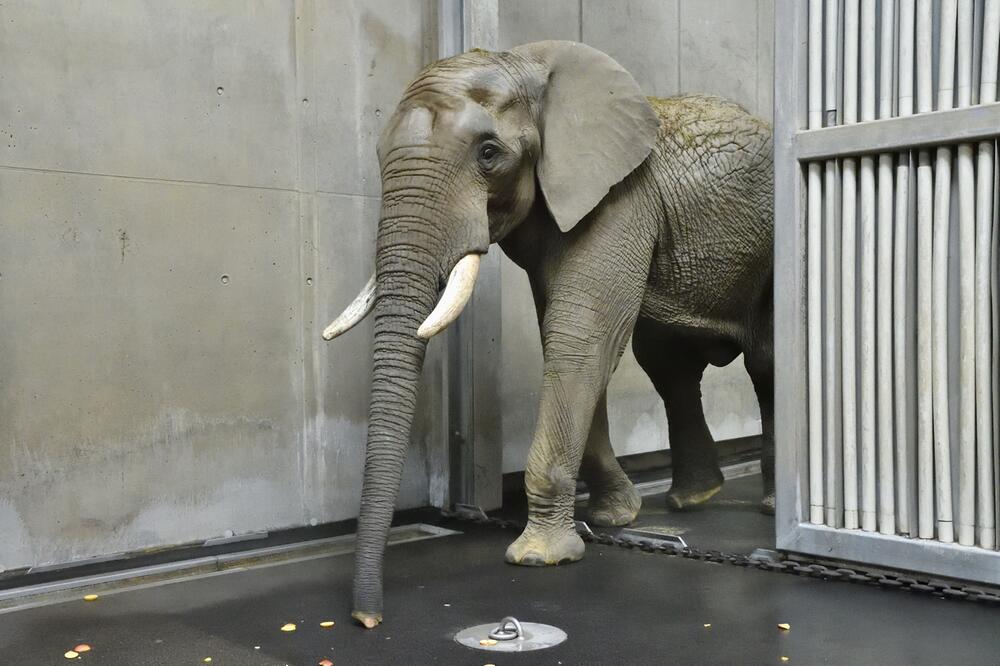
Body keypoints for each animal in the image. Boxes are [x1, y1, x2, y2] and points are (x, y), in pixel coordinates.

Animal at [324, 42, 776, 628]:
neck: (526, 65)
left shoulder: (622, 199)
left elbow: (581, 335)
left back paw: (768, 505)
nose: (368, 620)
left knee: (765, 360)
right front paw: (613, 519)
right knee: (667, 365)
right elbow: (567, 337)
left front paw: (539, 557)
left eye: (488, 153)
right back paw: (692, 500)